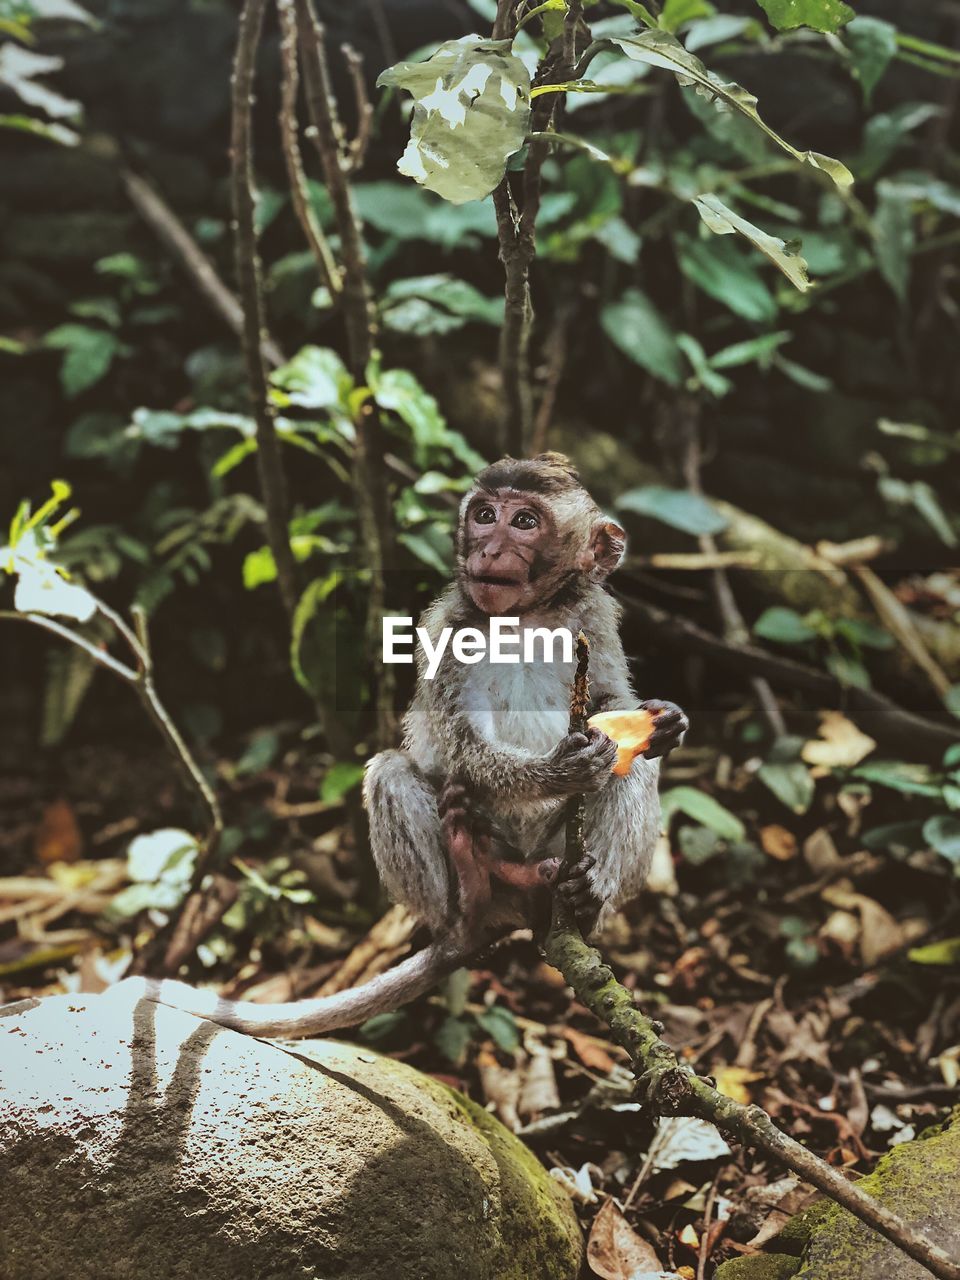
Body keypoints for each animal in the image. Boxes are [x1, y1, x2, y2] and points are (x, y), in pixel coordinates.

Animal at [110, 455, 686, 1034]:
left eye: (524, 522)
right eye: (484, 515)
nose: (488, 549)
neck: (525, 618)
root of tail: (517, 904)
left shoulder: (593, 617)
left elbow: (611, 699)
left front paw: (666, 719)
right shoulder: (449, 629)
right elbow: (462, 745)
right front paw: (561, 770)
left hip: (555, 852)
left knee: (633, 768)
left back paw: (584, 903)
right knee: (392, 772)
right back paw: (470, 898)